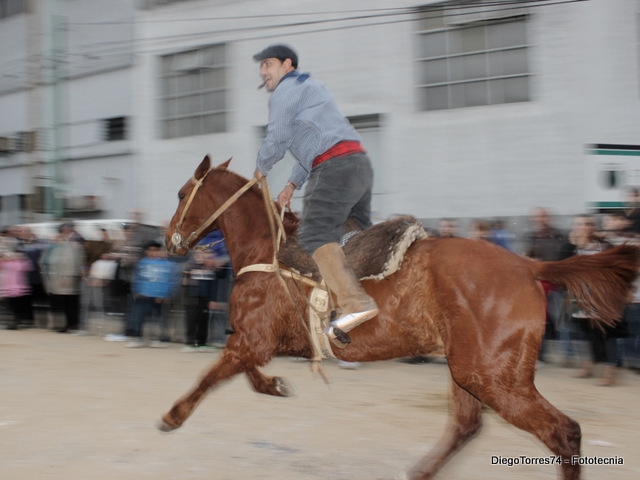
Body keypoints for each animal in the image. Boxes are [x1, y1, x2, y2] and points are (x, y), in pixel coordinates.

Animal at [160, 156, 640, 478]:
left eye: (182, 194)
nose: (169, 240)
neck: (267, 251)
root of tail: (529, 265)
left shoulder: (251, 339)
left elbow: (213, 374)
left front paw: (172, 416)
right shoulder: (256, 342)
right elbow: (247, 373)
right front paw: (276, 385)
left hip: (493, 376)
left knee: (564, 432)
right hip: (469, 369)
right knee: (468, 425)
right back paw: (420, 471)